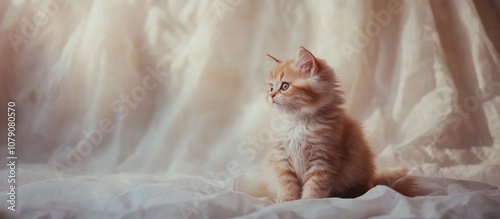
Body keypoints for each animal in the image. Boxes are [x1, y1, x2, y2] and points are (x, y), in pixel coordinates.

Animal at [260, 47, 416, 203]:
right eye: (271, 88)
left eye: (285, 86)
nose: (270, 96)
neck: (297, 121)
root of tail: (372, 182)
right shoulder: (282, 157)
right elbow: (286, 181)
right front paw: (287, 198)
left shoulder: (323, 157)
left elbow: (315, 184)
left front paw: (309, 201)